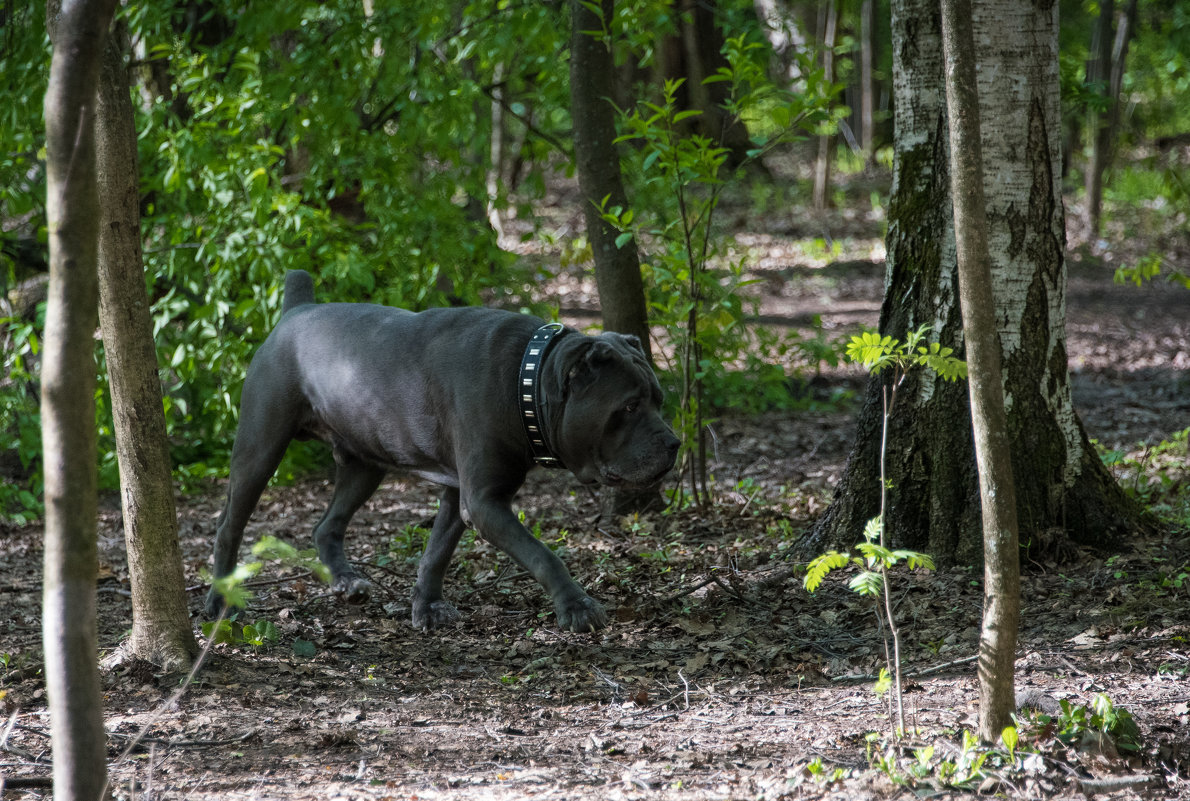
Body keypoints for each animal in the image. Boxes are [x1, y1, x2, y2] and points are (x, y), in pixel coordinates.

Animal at [204, 268, 680, 633]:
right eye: (628, 407)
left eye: (658, 399)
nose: (675, 443)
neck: (526, 379)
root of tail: (295, 310)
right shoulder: (485, 501)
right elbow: (542, 555)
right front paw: (577, 607)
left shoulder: (460, 495)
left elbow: (436, 554)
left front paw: (427, 608)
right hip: (260, 447)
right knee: (229, 525)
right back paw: (218, 601)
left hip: (364, 462)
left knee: (327, 525)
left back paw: (346, 581)